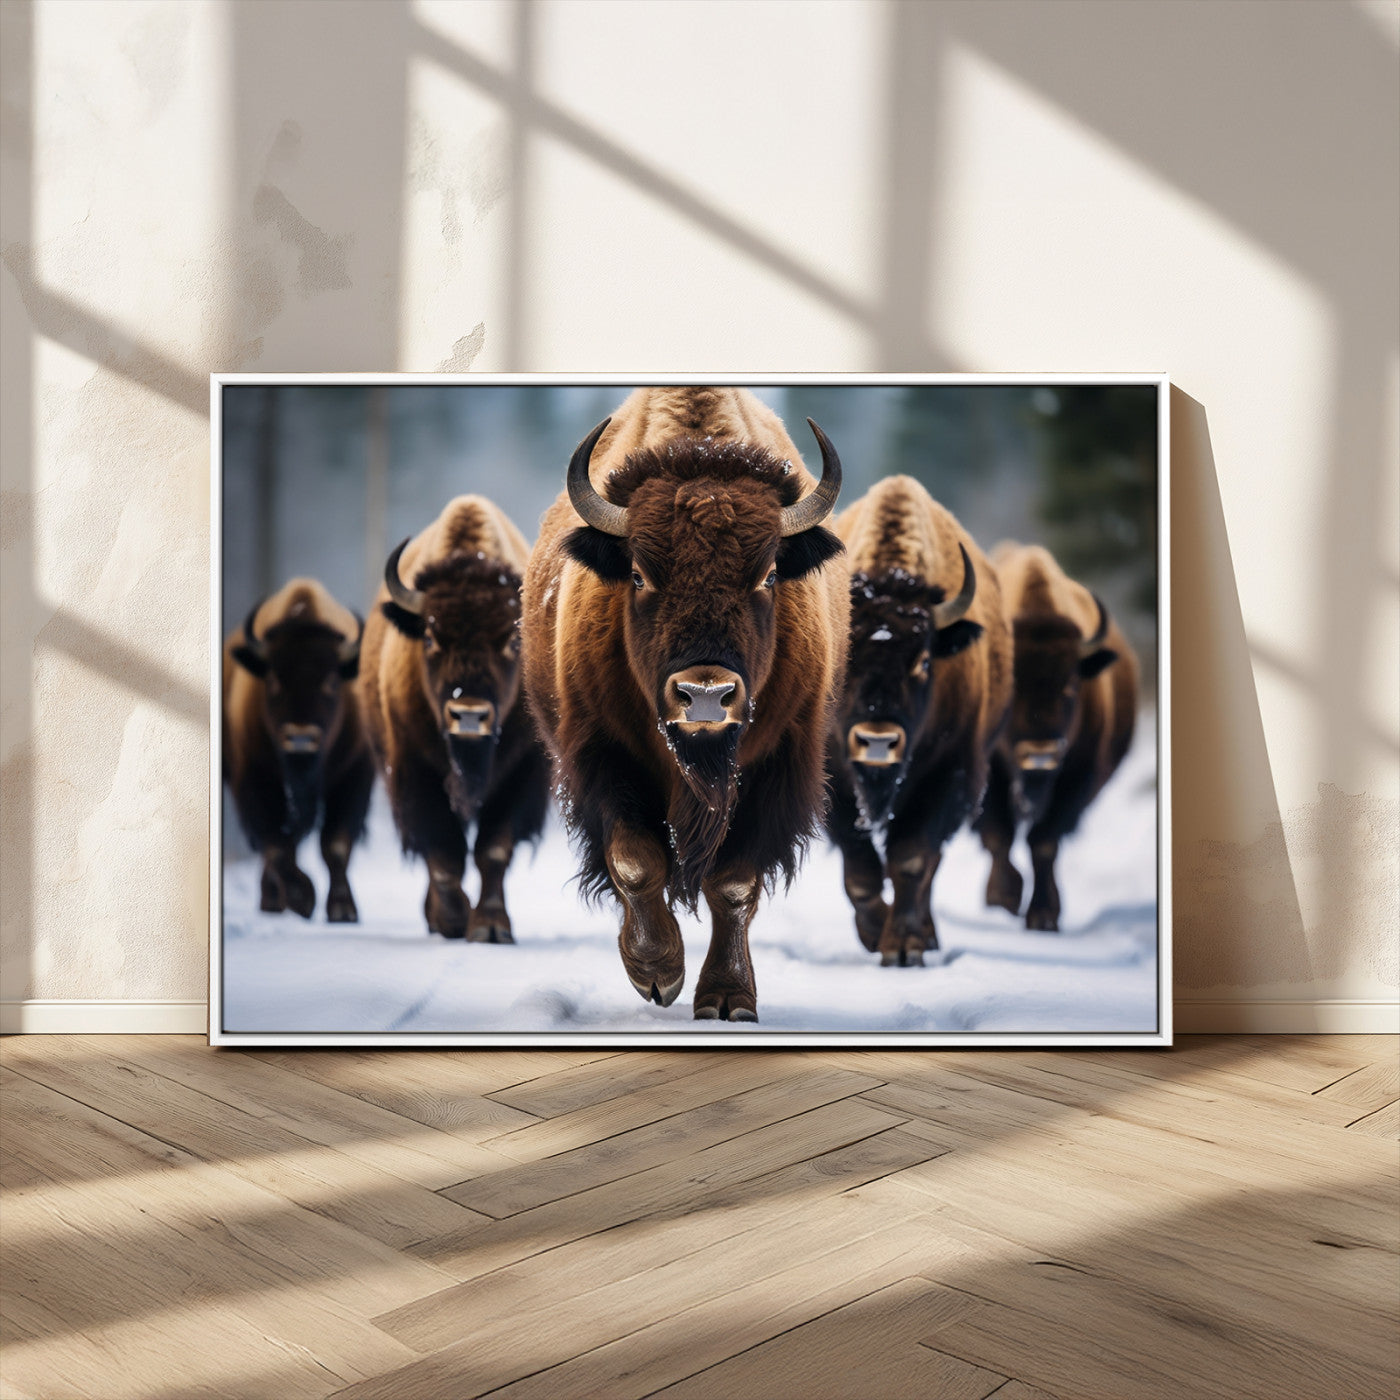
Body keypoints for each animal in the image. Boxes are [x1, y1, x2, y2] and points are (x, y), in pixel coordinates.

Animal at [223, 578, 372, 921]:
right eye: (273, 680)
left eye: (332, 681)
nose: (301, 738)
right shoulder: (253, 780)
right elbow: (277, 846)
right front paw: (303, 899)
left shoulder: (354, 775)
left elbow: (336, 844)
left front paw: (343, 910)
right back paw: (272, 902)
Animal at [359, 495, 549, 941]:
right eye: (430, 637)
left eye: (513, 640)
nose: (469, 714)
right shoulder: (415, 771)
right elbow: (444, 853)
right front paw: (453, 920)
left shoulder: (521, 773)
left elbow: (493, 849)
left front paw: (491, 927)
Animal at [522, 387, 850, 1021]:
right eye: (638, 574)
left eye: (769, 574)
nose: (704, 696)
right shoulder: (604, 755)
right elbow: (635, 860)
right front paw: (657, 973)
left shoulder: (776, 766)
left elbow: (733, 883)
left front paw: (728, 998)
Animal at [825, 475, 1012, 965]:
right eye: (846, 656)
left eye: (925, 661)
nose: (877, 741)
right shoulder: (836, 783)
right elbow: (861, 871)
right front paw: (875, 933)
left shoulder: (947, 774)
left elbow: (911, 860)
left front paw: (904, 947)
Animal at [976, 542, 1139, 931]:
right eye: (1012, 687)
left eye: (1071, 685)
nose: (1040, 754)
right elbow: (999, 834)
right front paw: (1003, 898)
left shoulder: (1074, 780)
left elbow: (1044, 843)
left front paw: (1044, 915)